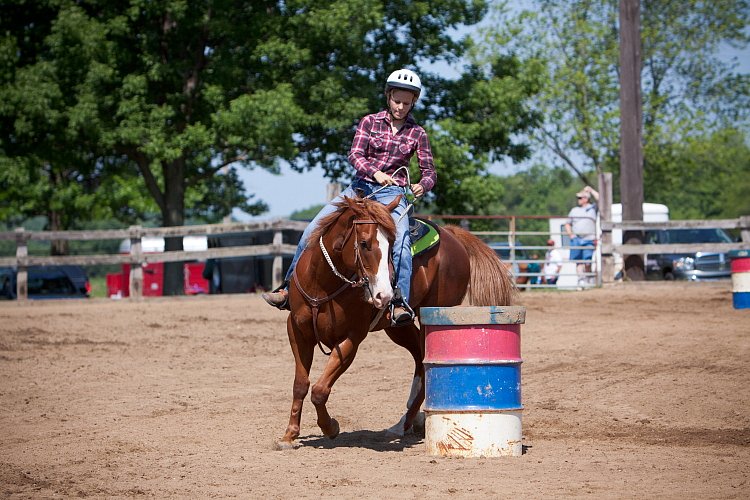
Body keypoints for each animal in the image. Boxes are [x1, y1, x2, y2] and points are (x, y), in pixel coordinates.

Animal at [276, 194, 516, 450]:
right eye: (364, 243)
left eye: (392, 245)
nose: (385, 295)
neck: (323, 284)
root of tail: (451, 234)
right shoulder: (297, 331)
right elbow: (301, 384)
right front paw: (289, 435)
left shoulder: (352, 338)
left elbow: (320, 390)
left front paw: (330, 427)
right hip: (399, 328)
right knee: (420, 360)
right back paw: (408, 421)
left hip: (432, 316)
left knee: (426, 363)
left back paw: (403, 424)